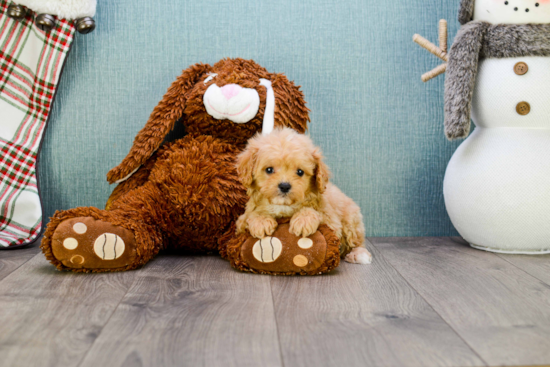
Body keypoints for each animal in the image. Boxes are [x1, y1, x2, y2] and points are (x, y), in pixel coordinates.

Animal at [235, 129, 374, 264]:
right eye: (269, 170)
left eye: (300, 172)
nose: (284, 186)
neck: (283, 206)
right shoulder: (241, 222)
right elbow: (250, 215)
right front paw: (261, 221)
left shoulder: (332, 222)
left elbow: (316, 213)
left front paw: (303, 220)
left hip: (351, 220)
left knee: (356, 241)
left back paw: (358, 254)